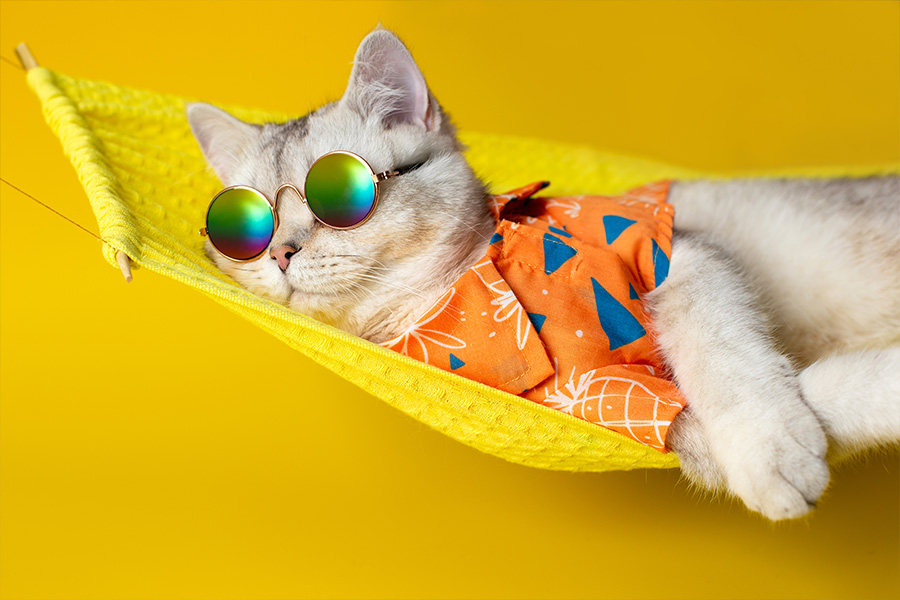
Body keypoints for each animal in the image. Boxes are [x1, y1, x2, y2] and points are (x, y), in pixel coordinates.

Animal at [188, 27, 900, 520]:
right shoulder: (617, 407)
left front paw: (773, 444)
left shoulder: (681, 255)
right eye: (244, 226)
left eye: (340, 195)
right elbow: (815, 396)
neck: (457, 297)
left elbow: (728, 359)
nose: (280, 252)